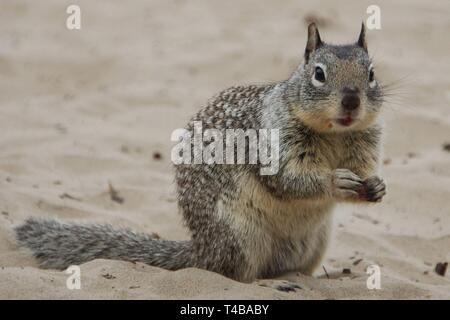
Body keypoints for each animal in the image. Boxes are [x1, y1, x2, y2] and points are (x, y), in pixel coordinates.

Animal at [14, 22, 386, 282]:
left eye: (371, 74)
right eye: (318, 74)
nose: (351, 101)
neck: (334, 134)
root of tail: (201, 249)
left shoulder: (364, 147)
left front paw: (377, 186)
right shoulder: (272, 142)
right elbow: (286, 180)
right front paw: (334, 182)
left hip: (316, 243)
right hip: (240, 237)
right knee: (233, 274)